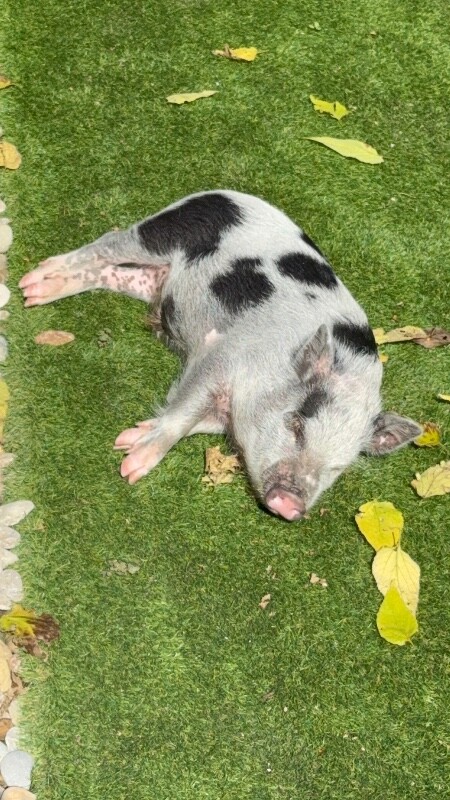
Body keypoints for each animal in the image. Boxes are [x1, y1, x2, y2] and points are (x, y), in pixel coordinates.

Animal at [19, 190, 421, 520]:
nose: (291, 505)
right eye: (296, 424)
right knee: (109, 242)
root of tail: (224, 194)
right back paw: (31, 282)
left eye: (338, 466)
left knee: (106, 272)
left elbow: (192, 421)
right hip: (160, 234)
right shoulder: (221, 355)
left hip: (148, 278)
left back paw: (36, 294)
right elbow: (182, 414)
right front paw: (131, 467)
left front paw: (130, 437)